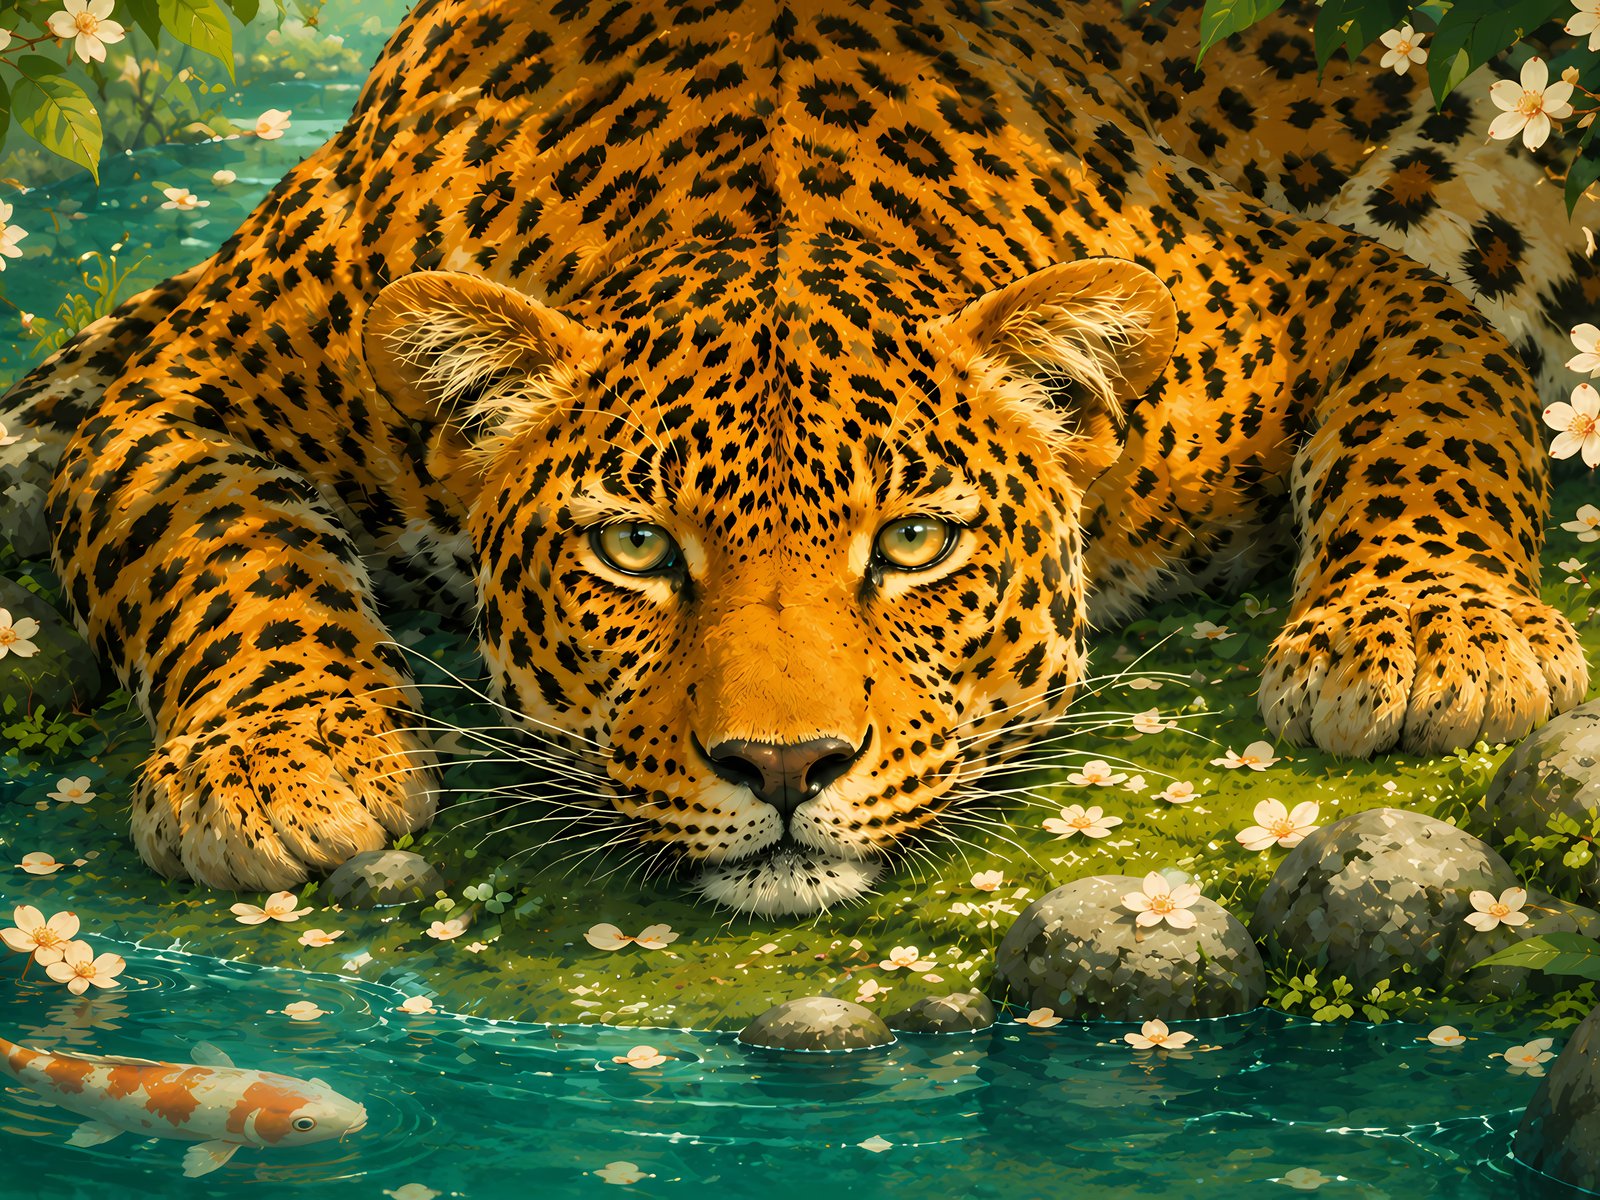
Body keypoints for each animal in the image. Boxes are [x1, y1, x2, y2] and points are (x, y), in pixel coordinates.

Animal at [1, 0, 1592, 916]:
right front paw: (282, 763)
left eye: (914, 543)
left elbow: (1433, 430)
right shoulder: (196, 377)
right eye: (635, 548)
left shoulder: (1319, 286)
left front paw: (1428, 640)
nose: (783, 767)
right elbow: (220, 561)